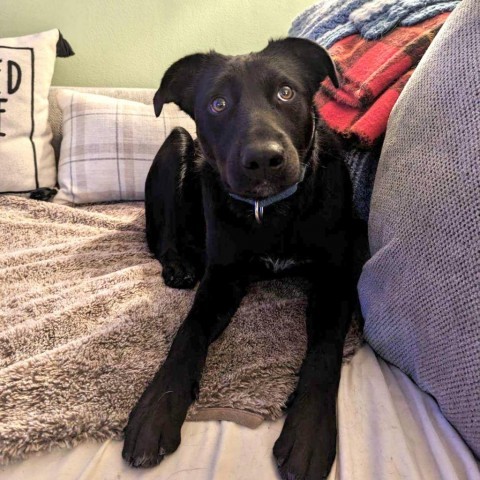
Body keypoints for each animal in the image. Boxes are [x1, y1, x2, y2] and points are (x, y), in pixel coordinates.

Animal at [122, 38, 366, 480]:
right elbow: (188, 335)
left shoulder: (334, 279)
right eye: (218, 104)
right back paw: (179, 264)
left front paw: (309, 432)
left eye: (286, 93)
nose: (263, 160)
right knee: (164, 237)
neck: (270, 210)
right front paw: (155, 410)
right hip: (177, 143)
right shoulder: (221, 280)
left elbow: (324, 352)